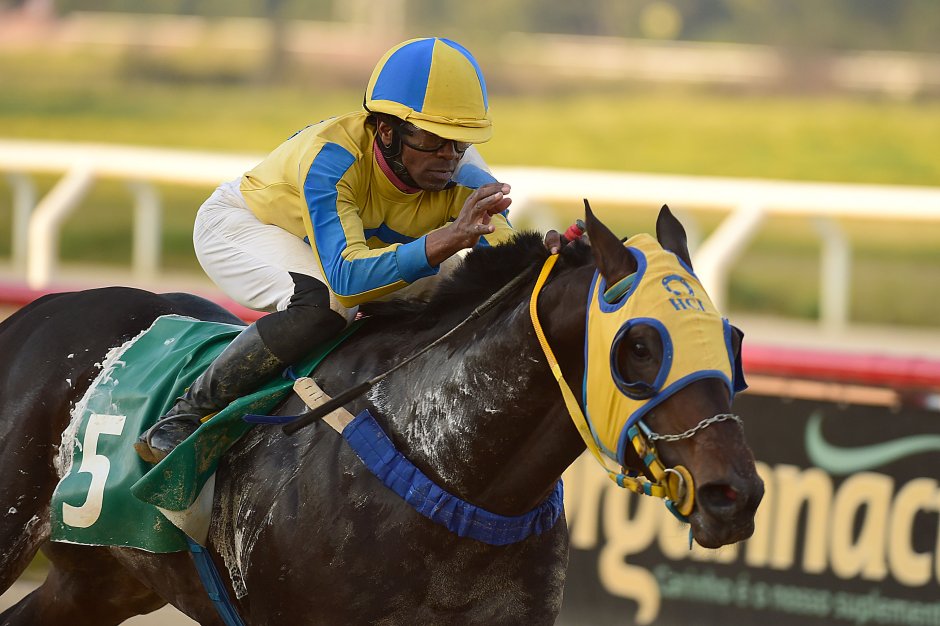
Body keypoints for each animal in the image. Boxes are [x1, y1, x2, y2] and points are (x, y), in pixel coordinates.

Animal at [0, 206, 763, 625]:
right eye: (639, 345)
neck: (452, 469)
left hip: (100, 580)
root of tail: (34, 311)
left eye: (732, 339)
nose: (737, 494)